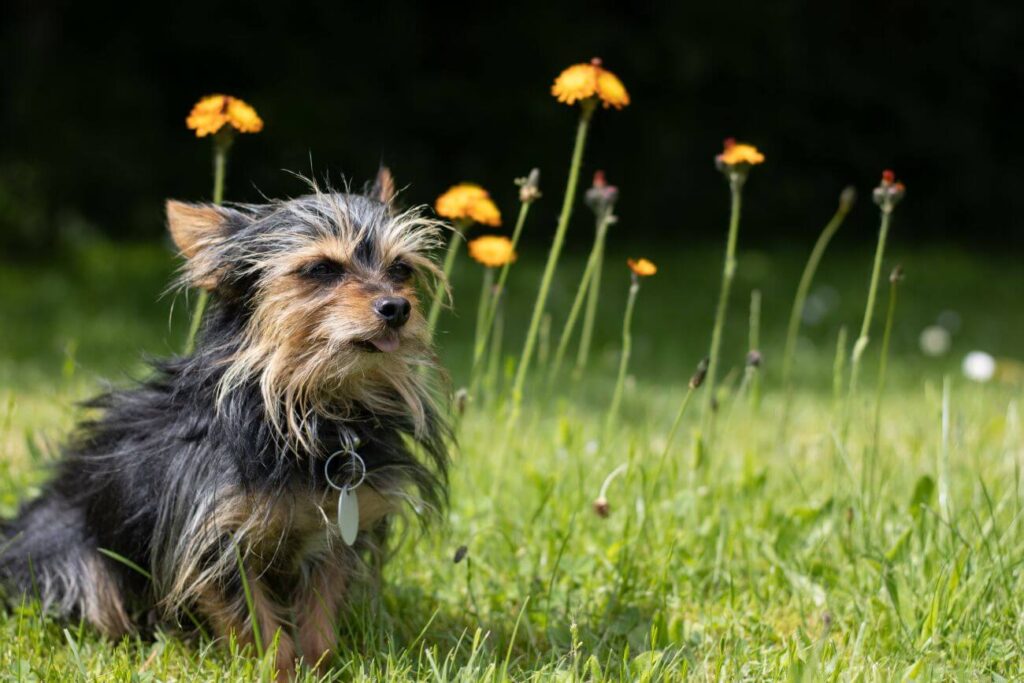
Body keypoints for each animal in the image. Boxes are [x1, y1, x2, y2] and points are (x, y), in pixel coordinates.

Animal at [0, 169, 452, 671]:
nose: (397, 307)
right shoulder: (215, 541)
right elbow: (258, 624)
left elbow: (319, 622)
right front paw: (277, 671)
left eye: (401, 270)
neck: (310, 411)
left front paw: (320, 669)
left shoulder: (336, 533)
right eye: (321, 269)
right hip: (68, 555)